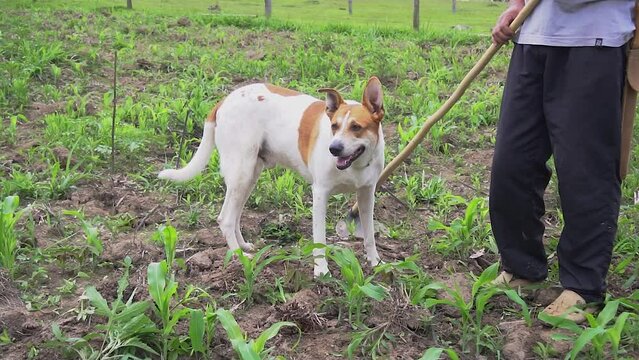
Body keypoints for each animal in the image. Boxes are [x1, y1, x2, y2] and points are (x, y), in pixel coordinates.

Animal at [161, 76, 384, 276]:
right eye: (334, 126)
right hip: (242, 173)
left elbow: (370, 235)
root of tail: (225, 100)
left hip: (249, 176)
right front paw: (321, 271)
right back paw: (238, 256)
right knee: (225, 218)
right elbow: (319, 240)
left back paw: (243, 245)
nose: (334, 149)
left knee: (235, 215)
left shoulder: (367, 194)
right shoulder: (320, 194)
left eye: (356, 127)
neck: (356, 166)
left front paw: (375, 262)